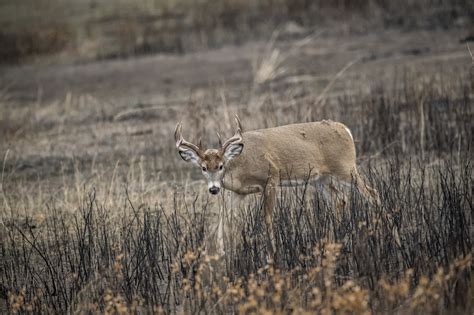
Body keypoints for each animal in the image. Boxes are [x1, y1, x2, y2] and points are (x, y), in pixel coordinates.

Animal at [176, 117, 380, 253]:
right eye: (203, 168)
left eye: (220, 166)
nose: (213, 189)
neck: (240, 164)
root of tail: (346, 129)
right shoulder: (238, 193)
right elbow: (223, 220)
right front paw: (220, 254)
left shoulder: (271, 178)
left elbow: (267, 218)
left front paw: (272, 252)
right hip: (321, 179)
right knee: (340, 200)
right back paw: (333, 239)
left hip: (346, 167)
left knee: (371, 192)